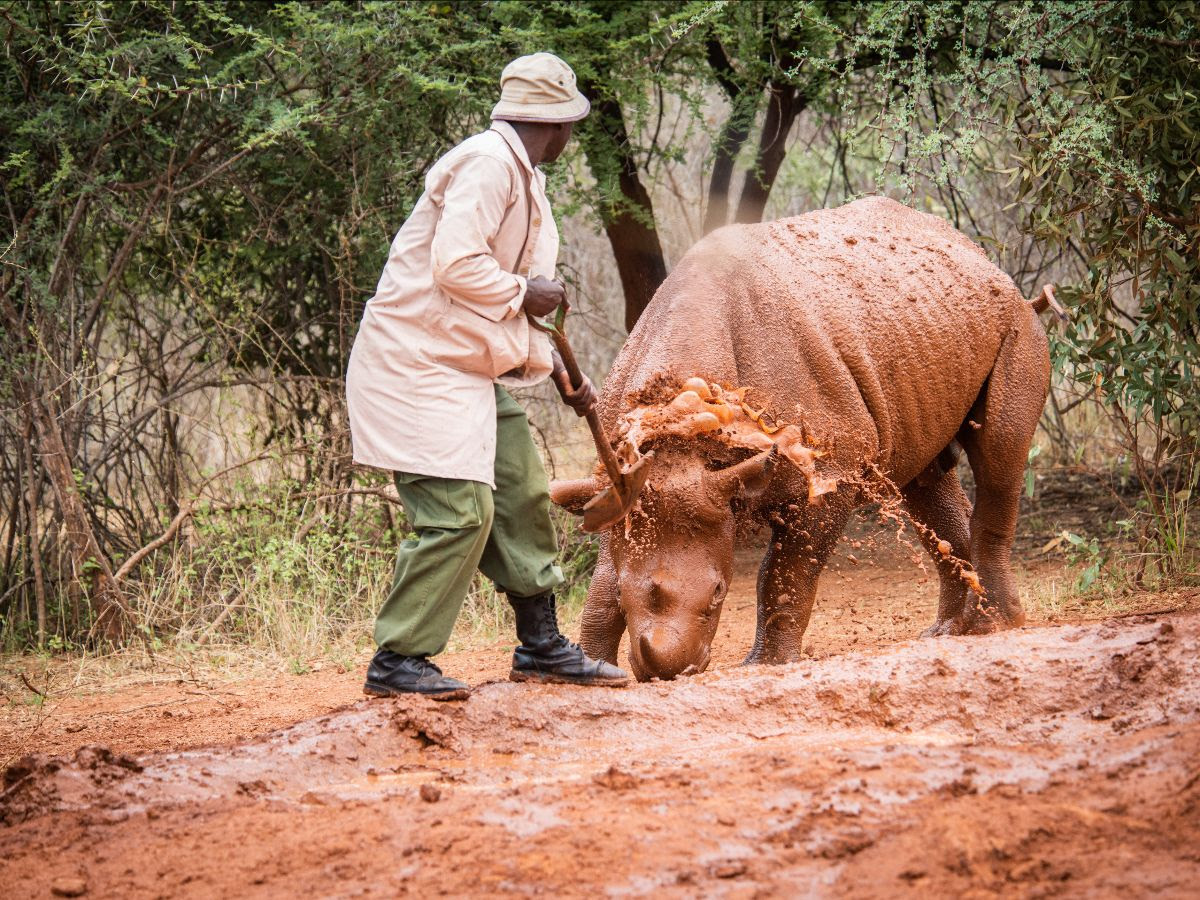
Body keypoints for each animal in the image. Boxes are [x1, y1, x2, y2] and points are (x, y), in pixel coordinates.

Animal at [551, 197, 1051, 682]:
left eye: (719, 594)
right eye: (624, 595)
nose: (671, 672)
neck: (681, 423)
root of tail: (982, 259)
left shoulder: (831, 469)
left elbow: (786, 570)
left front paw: (768, 665)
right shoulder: (621, 481)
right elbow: (601, 586)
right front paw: (596, 666)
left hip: (1016, 320)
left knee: (998, 461)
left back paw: (992, 625)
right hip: (924, 326)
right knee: (926, 482)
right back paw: (948, 631)